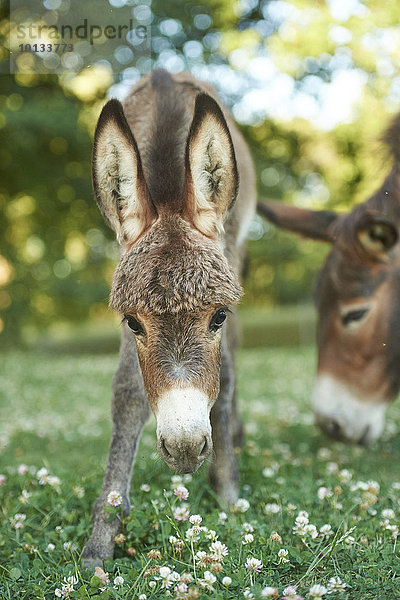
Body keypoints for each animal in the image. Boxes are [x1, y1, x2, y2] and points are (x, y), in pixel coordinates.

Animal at [82, 70, 255, 564]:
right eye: (133, 323)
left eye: (218, 317)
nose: (184, 448)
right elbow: (127, 392)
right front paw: (103, 533)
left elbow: (226, 376)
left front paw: (228, 493)